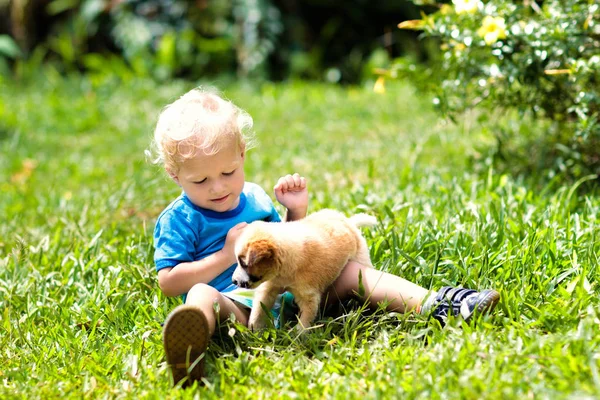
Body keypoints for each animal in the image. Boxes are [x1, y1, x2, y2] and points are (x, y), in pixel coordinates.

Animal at [231, 209, 376, 332]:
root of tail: (348, 222)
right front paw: (255, 330)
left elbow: (304, 323)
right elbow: (258, 311)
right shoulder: (268, 289)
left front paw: (297, 338)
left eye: (243, 263)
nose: (234, 281)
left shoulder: (309, 298)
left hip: (362, 259)